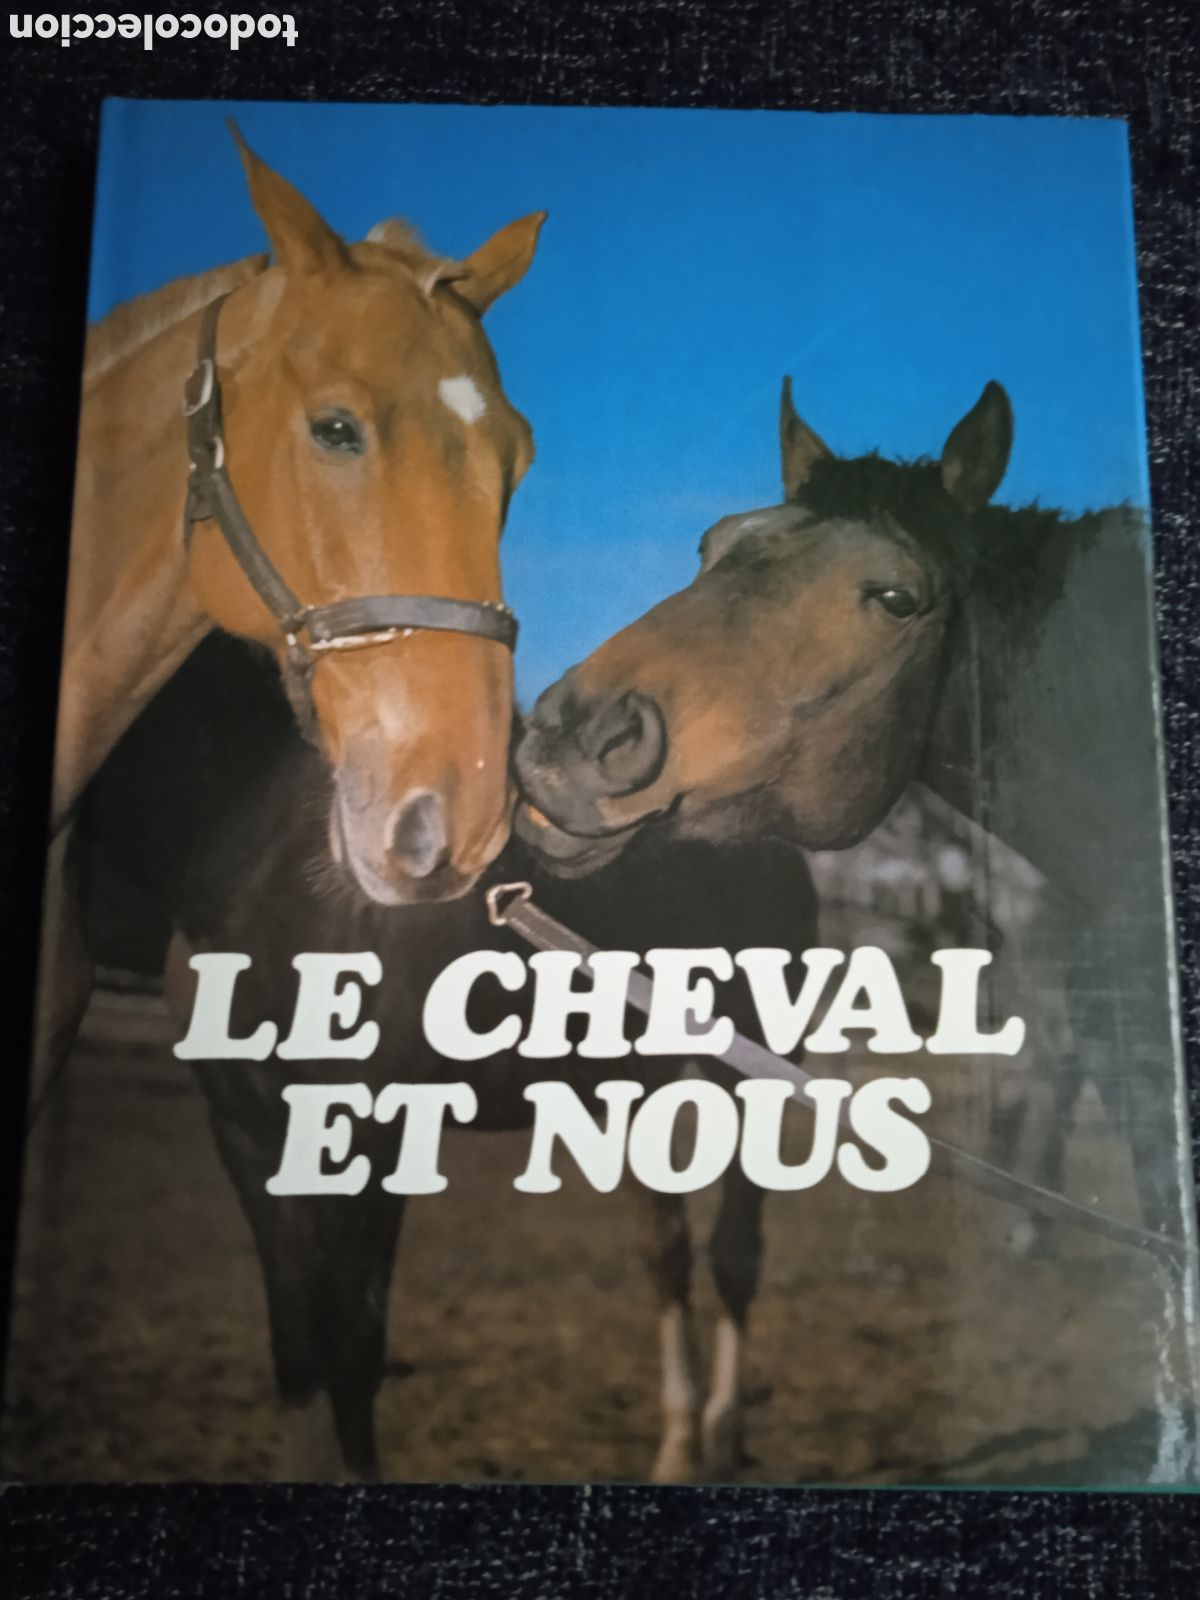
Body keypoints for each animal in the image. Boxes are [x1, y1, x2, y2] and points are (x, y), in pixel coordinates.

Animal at [74, 630, 820, 1482]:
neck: (271, 863)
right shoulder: (247, 1132)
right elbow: (298, 1345)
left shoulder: (375, 1135)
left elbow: (355, 1344)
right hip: (637, 1082)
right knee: (666, 1253)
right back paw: (678, 1445)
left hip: (749, 1073)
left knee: (735, 1253)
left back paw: (723, 1433)